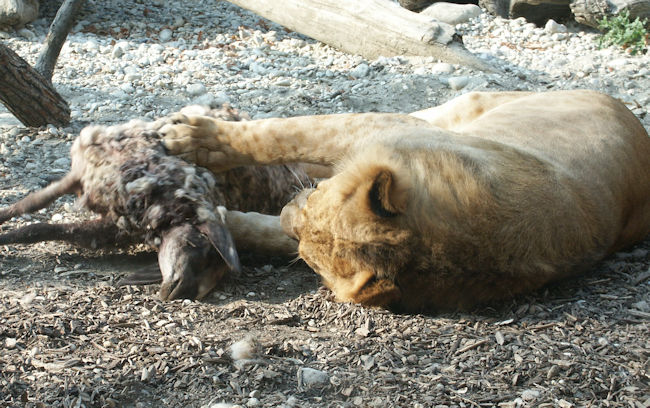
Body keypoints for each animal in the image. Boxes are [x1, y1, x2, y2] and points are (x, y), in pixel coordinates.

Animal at [159, 91, 648, 310]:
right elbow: (293, 133)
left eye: (309, 255)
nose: (285, 211)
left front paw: (194, 141)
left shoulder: (367, 132)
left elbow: (284, 133)